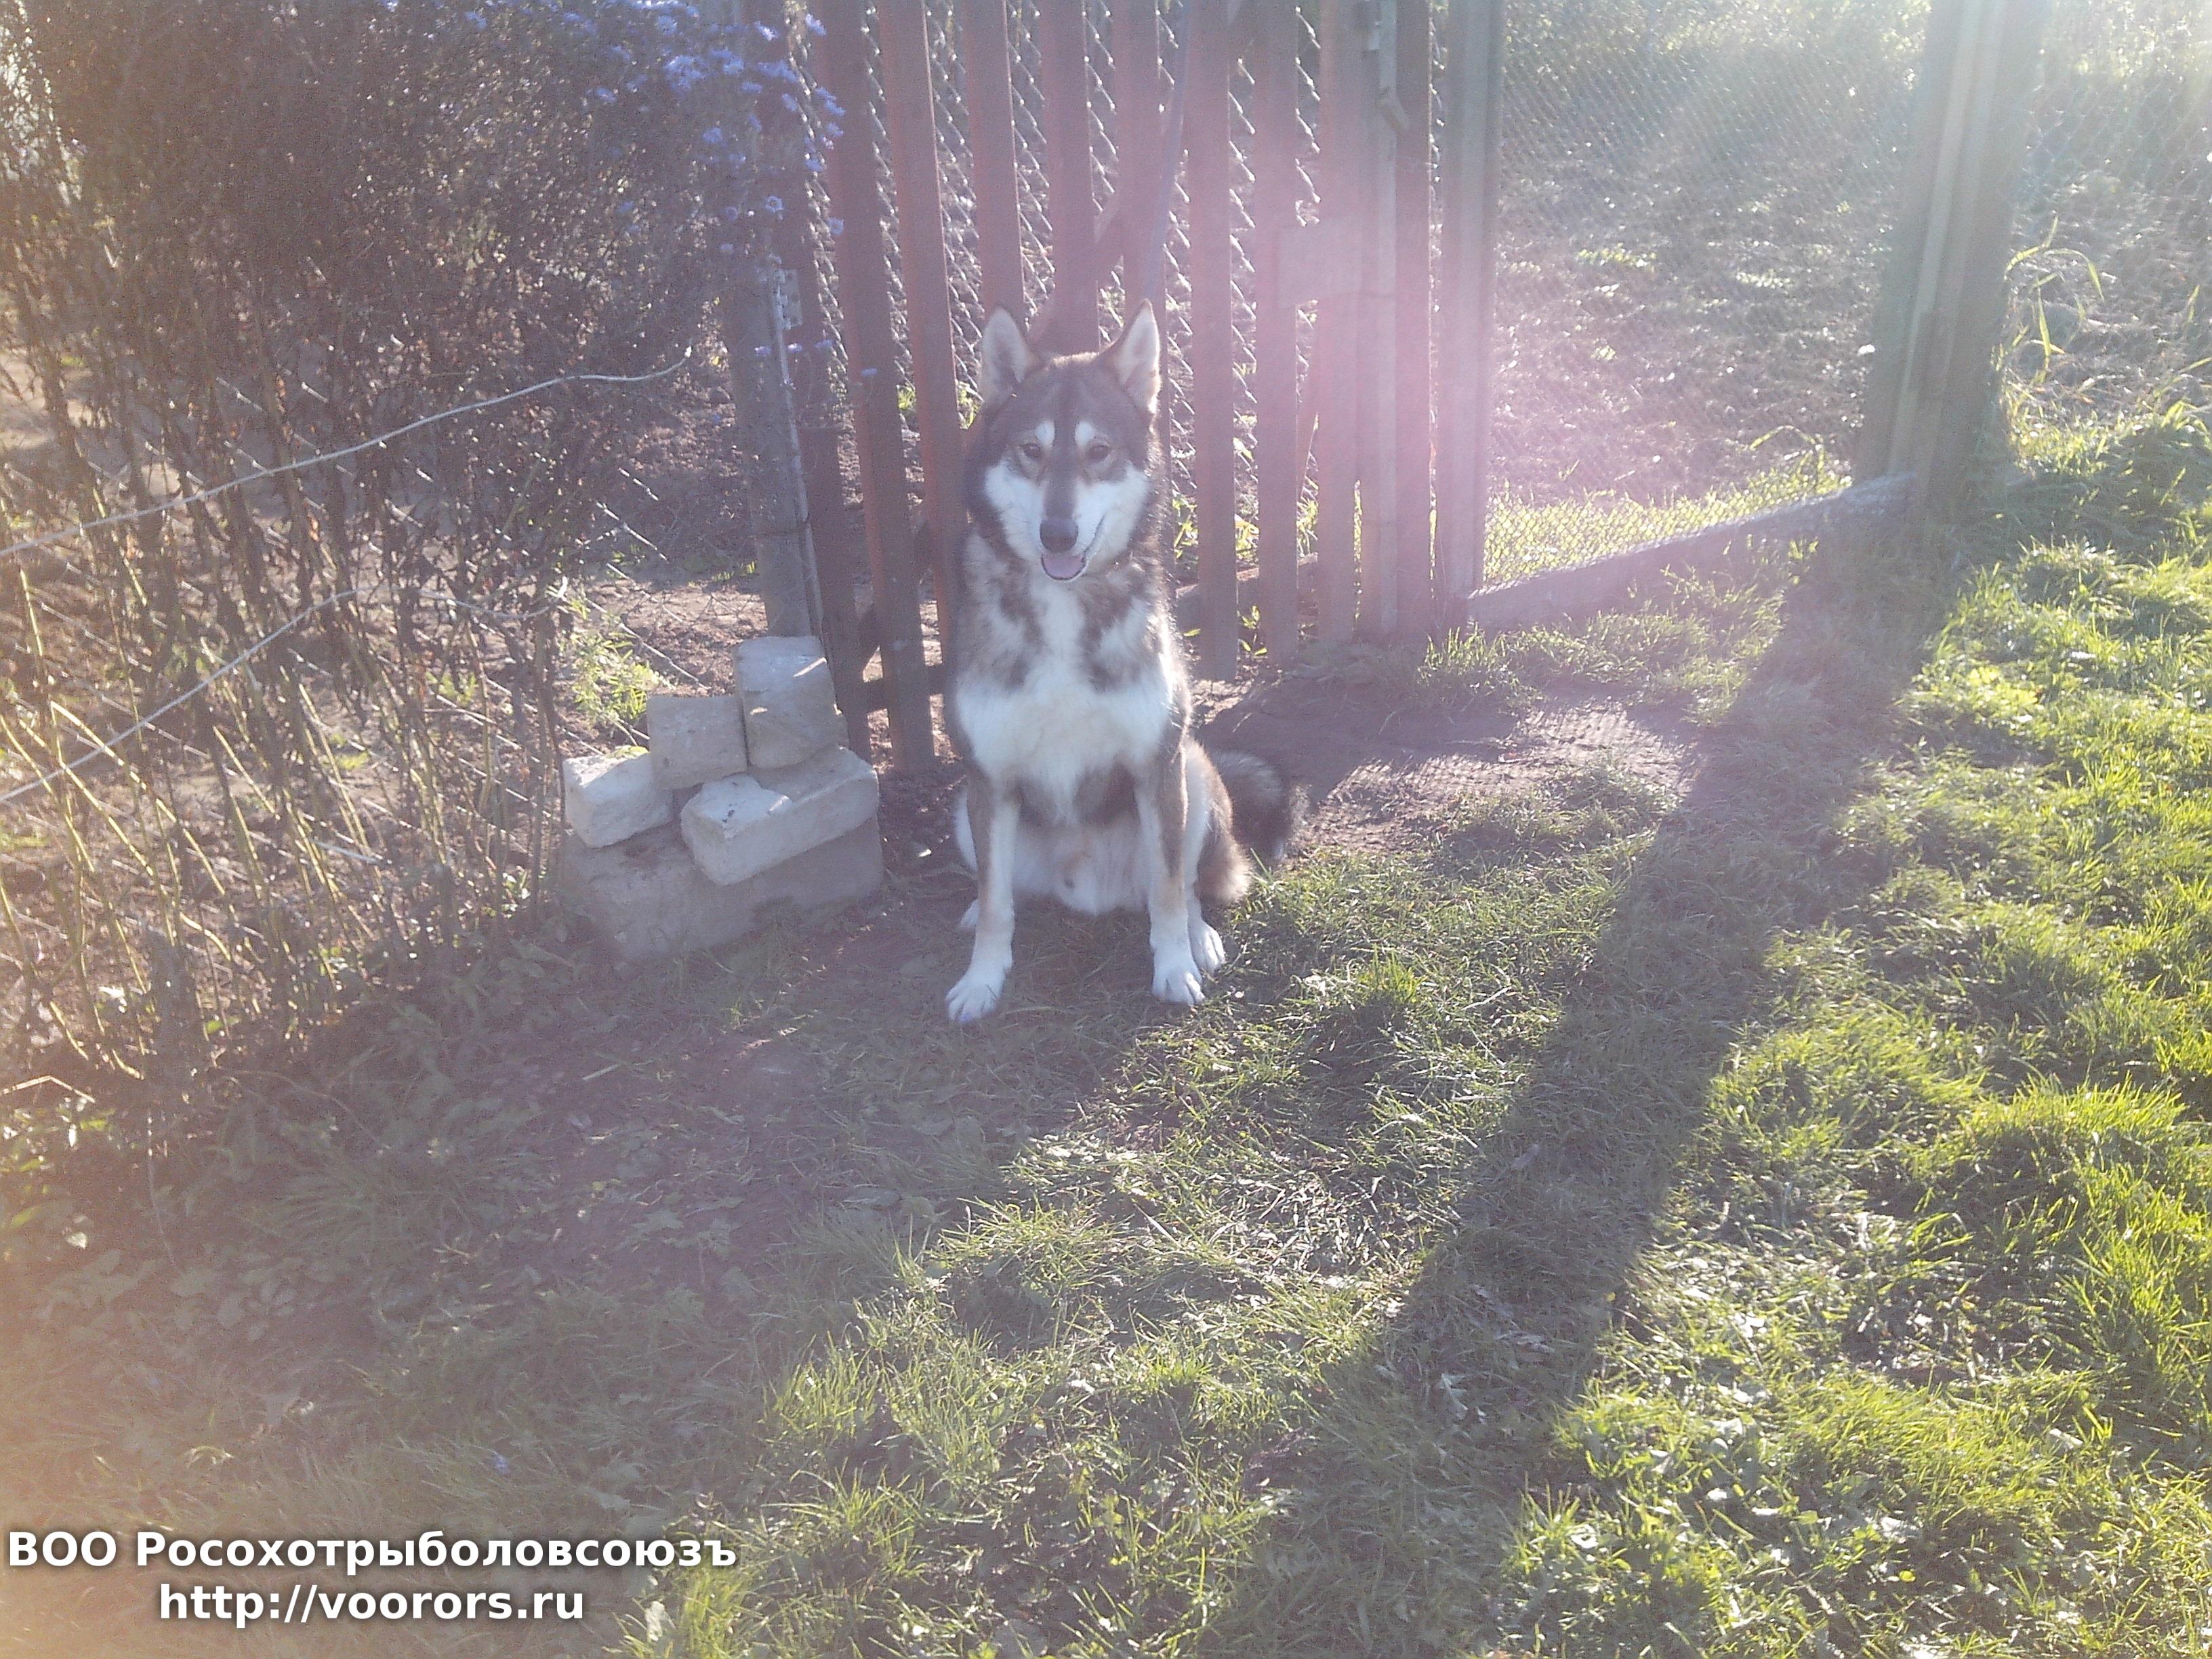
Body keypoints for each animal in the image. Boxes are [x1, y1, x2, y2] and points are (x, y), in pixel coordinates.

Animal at [941, 301, 1299, 1023]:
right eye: (1031, 451)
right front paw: (982, 980)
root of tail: (1093, 890)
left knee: (1186, 885)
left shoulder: (1155, 760)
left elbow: (1167, 892)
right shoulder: (989, 775)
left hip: (1191, 772)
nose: (1057, 535)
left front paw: (1174, 968)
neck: (1062, 602)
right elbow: (997, 904)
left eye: (1098, 452)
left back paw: (1199, 939)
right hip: (964, 809)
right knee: (1005, 889)